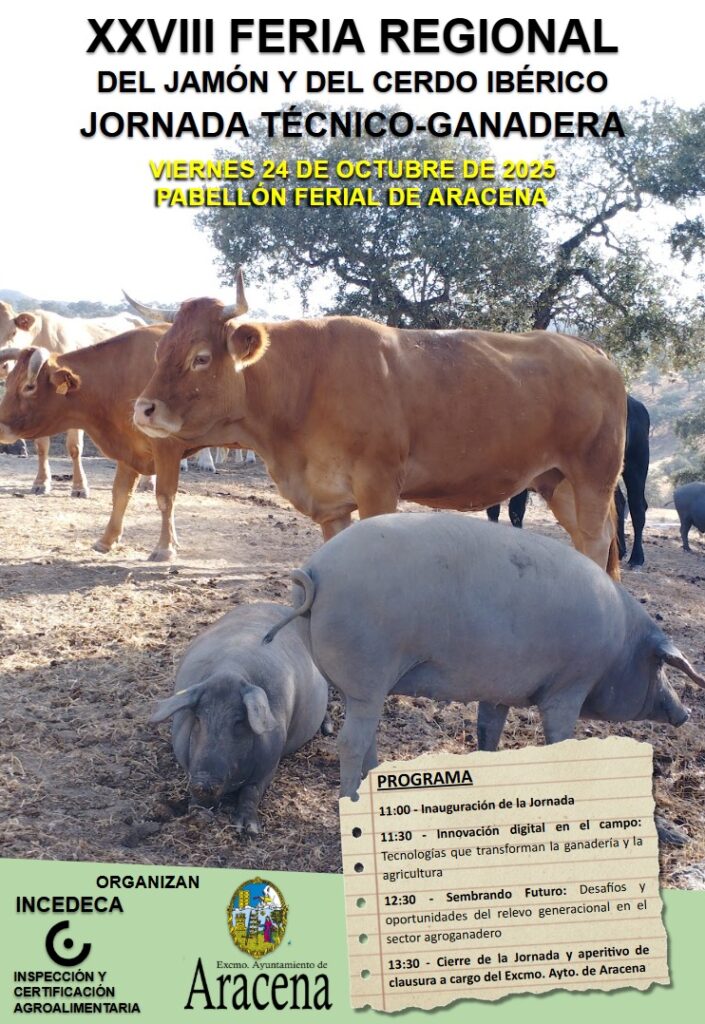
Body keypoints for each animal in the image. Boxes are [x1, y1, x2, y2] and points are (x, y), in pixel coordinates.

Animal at [150, 602, 332, 832]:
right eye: (198, 719)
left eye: (239, 722)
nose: (203, 783)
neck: (229, 671)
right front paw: (196, 812)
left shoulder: (271, 761)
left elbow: (252, 790)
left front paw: (248, 828)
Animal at [262, 513, 704, 798]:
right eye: (659, 665)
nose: (684, 714)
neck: (619, 648)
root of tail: (314, 572)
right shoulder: (569, 685)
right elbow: (559, 738)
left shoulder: (499, 690)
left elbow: (488, 731)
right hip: (367, 673)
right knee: (351, 742)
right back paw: (350, 800)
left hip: (361, 685)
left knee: (365, 736)